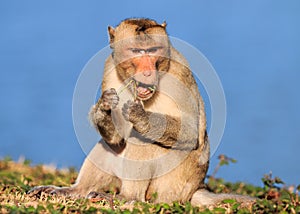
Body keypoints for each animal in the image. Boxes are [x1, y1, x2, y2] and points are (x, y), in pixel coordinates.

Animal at [28, 18, 254, 207]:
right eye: (137, 51)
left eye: (153, 50)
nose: (147, 71)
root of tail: (195, 189)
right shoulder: (109, 66)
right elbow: (116, 138)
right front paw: (103, 108)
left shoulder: (179, 72)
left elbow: (189, 131)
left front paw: (141, 117)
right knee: (110, 145)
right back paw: (76, 191)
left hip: (172, 186)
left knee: (144, 141)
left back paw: (128, 197)